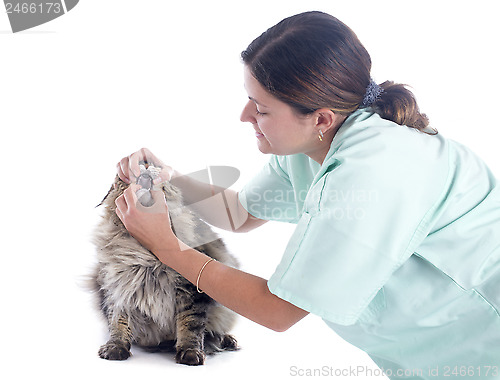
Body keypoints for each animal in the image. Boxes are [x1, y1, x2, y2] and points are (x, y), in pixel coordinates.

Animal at [90, 166, 240, 366]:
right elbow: (118, 321)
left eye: (154, 167)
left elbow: (190, 324)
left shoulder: (190, 290)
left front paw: (190, 352)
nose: (145, 168)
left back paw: (226, 340)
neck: (143, 254)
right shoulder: (117, 287)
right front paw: (115, 347)